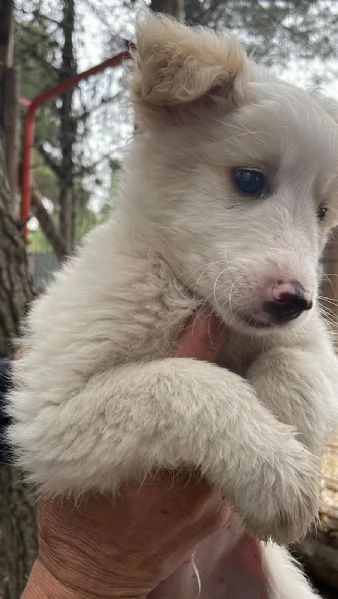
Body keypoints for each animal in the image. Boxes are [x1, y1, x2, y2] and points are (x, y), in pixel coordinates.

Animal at [6, 12, 338, 599]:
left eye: (322, 212)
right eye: (249, 180)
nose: (294, 301)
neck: (186, 288)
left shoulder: (317, 343)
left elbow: (293, 364)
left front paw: (288, 431)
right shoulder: (46, 416)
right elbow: (179, 380)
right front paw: (276, 468)